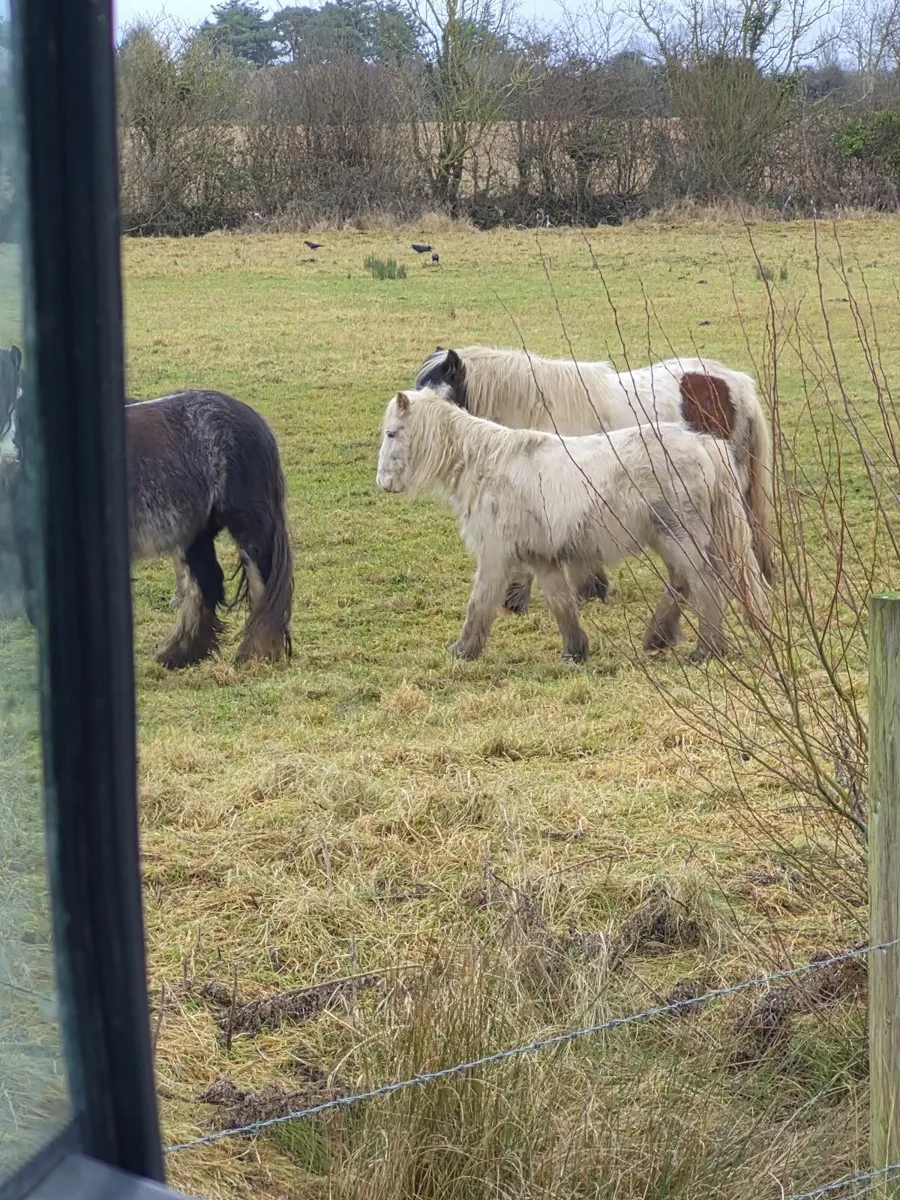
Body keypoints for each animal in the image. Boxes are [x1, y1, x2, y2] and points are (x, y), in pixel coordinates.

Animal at [124, 390, 294, 668]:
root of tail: (258, 422)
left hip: (249, 527)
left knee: (263, 589)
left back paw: (257, 657)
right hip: (194, 535)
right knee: (206, 584)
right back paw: (180, 653)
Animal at [377, 387, 769, 665]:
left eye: (392, 433)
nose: (383, 483)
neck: (488, 463)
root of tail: (703, 444)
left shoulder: (495, 556)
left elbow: (480, 602)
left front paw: (462, 650)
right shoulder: (541, 558)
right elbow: (561, 602)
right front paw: (574, 651)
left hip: (681, 537)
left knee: (704, 585)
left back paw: (706, 650)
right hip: (668, 538)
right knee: (682, 583)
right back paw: (657, 638)